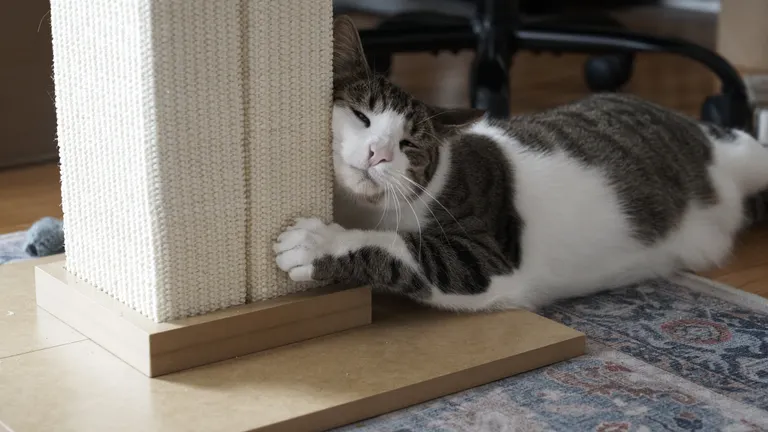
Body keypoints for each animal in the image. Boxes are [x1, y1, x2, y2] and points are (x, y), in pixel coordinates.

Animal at [272, 16, 768, 310]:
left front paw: (316, 242)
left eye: (409, 144)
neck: (361, 207)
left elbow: (401, 246)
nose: (378, 152)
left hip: (742, 152)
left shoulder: (487, 256)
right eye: (362, 116)